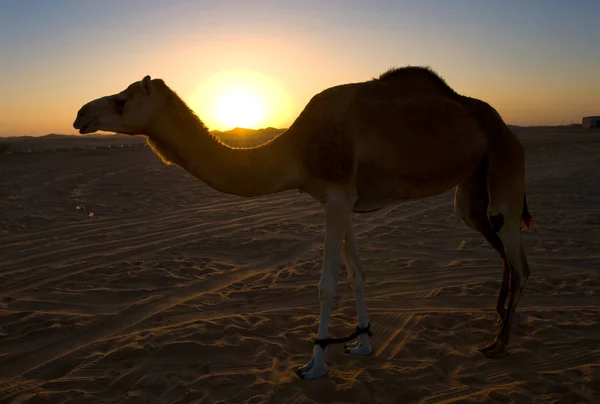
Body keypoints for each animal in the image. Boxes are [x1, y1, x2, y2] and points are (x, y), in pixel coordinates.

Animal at [72, 65, 532, 378]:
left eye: (123, 99)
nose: (80, 114)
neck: (294, 150)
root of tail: (500, 123)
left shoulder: (337, 197)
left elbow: (327, 284)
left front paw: (314, 364)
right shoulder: (342, 200)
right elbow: (357, 274)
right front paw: (361, 344)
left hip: (505, 158)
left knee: (518, 254)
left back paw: (500, 343)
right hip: (471, 189)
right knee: (494, 238)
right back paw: (499, 325)